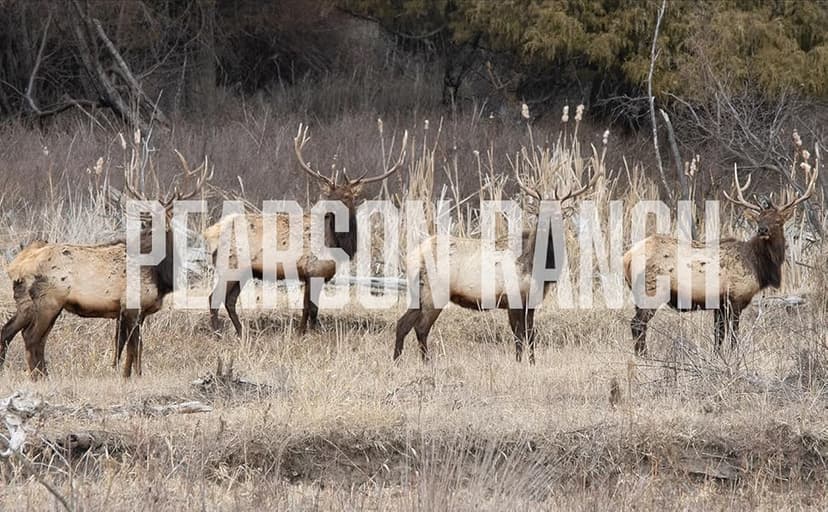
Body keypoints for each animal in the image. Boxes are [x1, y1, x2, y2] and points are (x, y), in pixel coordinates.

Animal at [0, 152, 211, 378]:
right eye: (151, 223)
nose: (146, 230)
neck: (160, 276)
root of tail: (16, 267)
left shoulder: (128, 313)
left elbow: (125, 349)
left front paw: (124, 375)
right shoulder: (132, 306)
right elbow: (135, 347)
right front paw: (134, 377)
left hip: (26, 303)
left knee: (9, 332)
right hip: (49, 300)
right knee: (31, 338)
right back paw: (39, 377)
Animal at [204, 124, 406, 337]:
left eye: (347, 197)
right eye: (330, 195)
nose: (329, 210)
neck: (337, 244)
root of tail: (210, 232)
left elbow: (313, 307)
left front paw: (311, 330)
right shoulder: (312, 270)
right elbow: (308, 307)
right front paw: (302, 332)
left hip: (241, 271)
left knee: (229, 300)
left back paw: (241, 332)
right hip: (231, 265)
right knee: (213, 298)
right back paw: (218, 333)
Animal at [394, 167, 600, 364]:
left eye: (558, 215)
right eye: (539, 214)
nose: (545, 227)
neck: (536, 268)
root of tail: (411, 258)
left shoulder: (530, 302)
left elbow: (531, 335)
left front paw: (532, 362)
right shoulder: (513, 298)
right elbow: (519, 335)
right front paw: (519, 362)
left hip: (419, 293)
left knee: (402, 324)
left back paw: (397, 361)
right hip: (434, 292)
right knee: (421, 328)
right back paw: (427, 363)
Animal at [624, 154, 818, 356]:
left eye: (778, 221)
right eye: (759, 219)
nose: (762, 229)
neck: (758, 266)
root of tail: (626, 258)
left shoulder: (719, 304)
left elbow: (719, 335)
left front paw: (717, 356)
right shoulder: (735, 298)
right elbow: (733, 335)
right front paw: (733, 355)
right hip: (651, 290)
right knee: (637, 324)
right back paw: (644, 356)